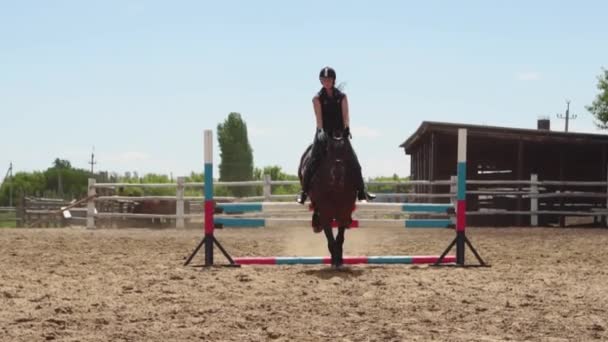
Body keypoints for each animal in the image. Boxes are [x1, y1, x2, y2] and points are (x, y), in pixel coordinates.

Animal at [298, 131, 358, 268]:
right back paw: (316, 223)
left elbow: (340, 237)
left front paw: (339, 259)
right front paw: (334, 259)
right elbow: (329, 236)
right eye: (329, 152)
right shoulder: (325, 211)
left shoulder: (344, 210)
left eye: (346, 151)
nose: (337, 174)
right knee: (315, 208)